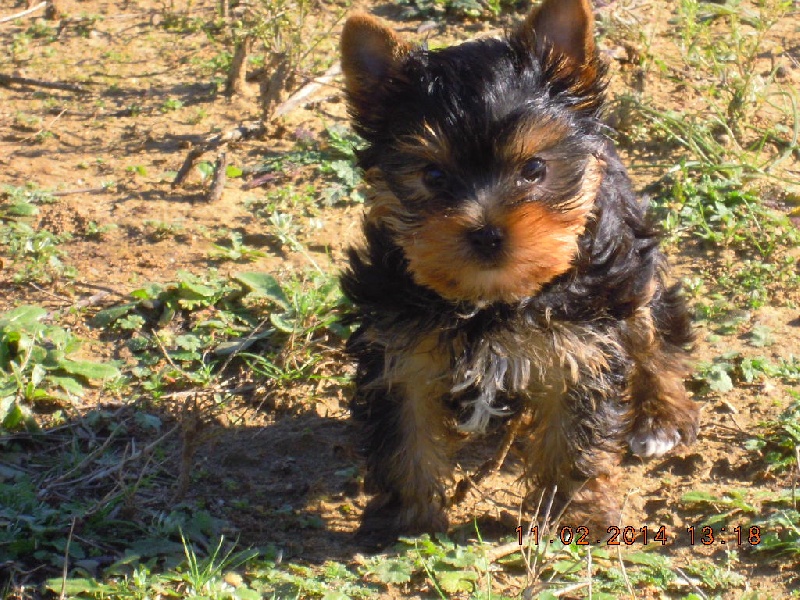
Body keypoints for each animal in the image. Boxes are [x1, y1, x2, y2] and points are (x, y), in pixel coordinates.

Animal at [340, 0, 696, 540]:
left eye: (534, 170)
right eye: (433, 176)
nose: (487, 233)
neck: (495, 299)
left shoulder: (580, 344)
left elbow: (574, 437)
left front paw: (577, 514)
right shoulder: (400, 347)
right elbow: (405, 432)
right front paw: (406, 518)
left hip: (627, 267)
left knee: (654, 333)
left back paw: (662, 417)